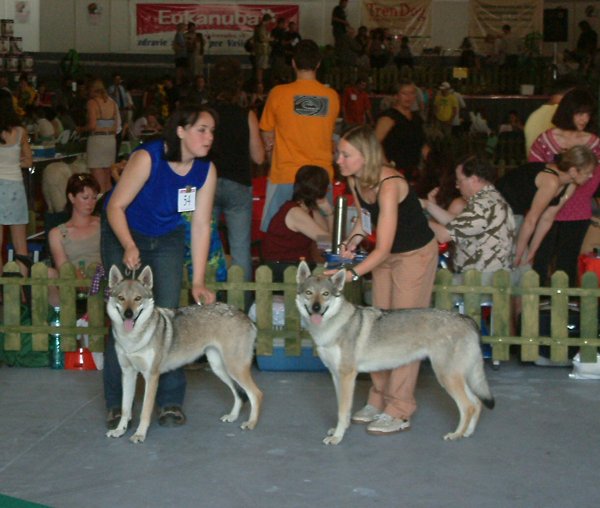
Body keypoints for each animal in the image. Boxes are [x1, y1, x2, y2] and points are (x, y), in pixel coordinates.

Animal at [105, 265, 262, 443]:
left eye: (138, 298)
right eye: (121, 298)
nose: (128, 314)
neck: (131, 340)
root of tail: (246, 316)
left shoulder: (151, 377)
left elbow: (145, 411)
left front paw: (139, 434)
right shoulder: (128, 373)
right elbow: (125, 409)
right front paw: (120, 430)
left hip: (234, 368)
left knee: (256, 394)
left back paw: (250, 423)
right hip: (220, 368)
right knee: (239, 395)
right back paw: (232, 416)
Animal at [295, 261, 495, 445]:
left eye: (325, 294)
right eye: (309, 293)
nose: (316, 308)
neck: (331, 327)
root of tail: (466, 318)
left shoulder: (347, 376)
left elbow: (342, 411)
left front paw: (337, 437)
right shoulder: (336, 375)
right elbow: (342, 409)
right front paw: (339, 430)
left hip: (447, 377)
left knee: (468, 406)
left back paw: (456, 434)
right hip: (456, 377)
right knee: (477, 403)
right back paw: (468, 433)